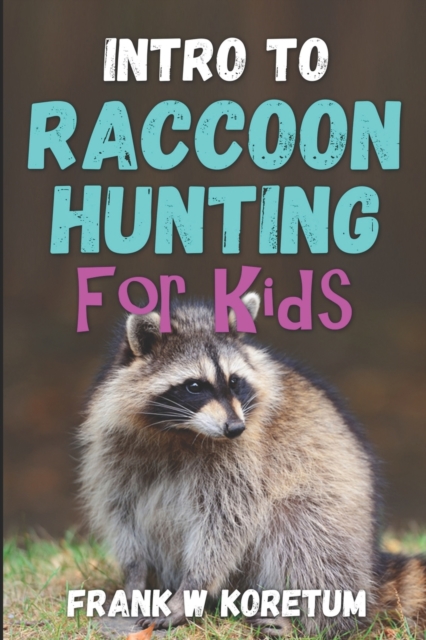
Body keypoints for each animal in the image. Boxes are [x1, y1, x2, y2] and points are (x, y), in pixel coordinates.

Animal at [79, 294, 426, 637]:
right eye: (195, 386)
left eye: (235, 382)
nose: (235, 428)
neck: (180, 431)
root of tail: (370, 572)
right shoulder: (114, 448)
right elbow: (121, 512)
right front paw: (134, 576)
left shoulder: (245, 458)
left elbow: (225, 524)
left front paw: (191, 590)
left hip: (336, 526)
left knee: (301, 534)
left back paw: (311, 622)